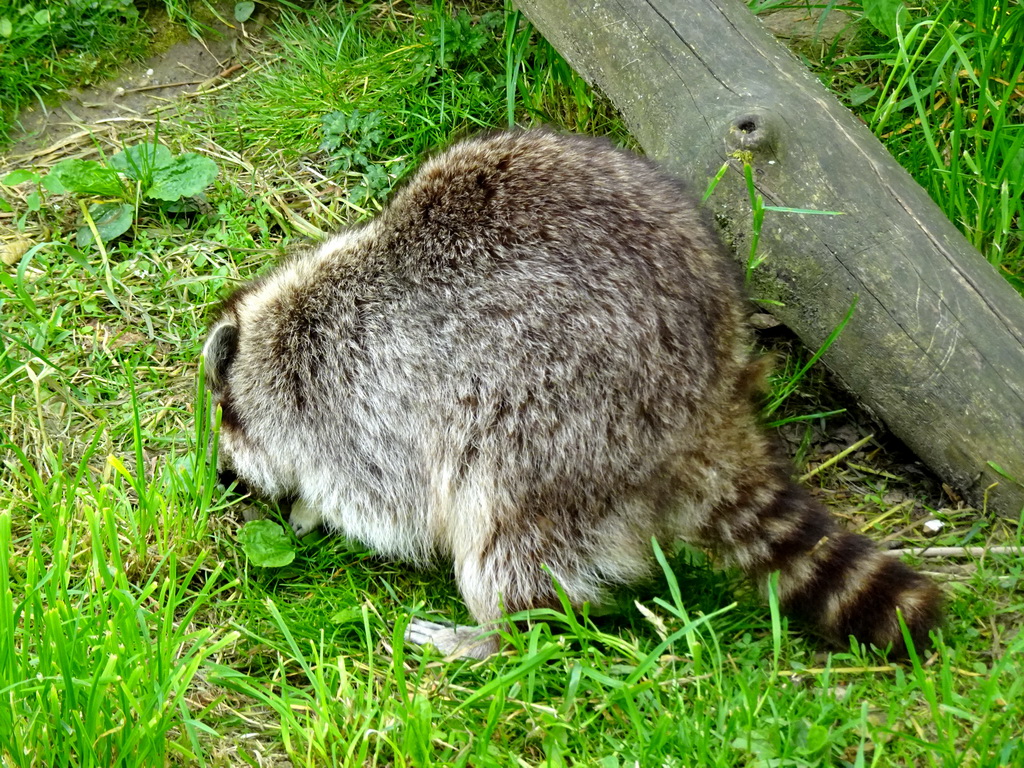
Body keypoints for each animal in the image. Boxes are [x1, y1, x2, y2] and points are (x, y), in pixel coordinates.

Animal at [201, 129, 942, 659]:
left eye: (224, 423)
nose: (222, 478)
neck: (281, 331)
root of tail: (707, 408)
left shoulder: (355, 395)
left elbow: (390, 501)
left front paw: (310, 509)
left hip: (562, 421)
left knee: (507, 527)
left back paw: (498, 631)